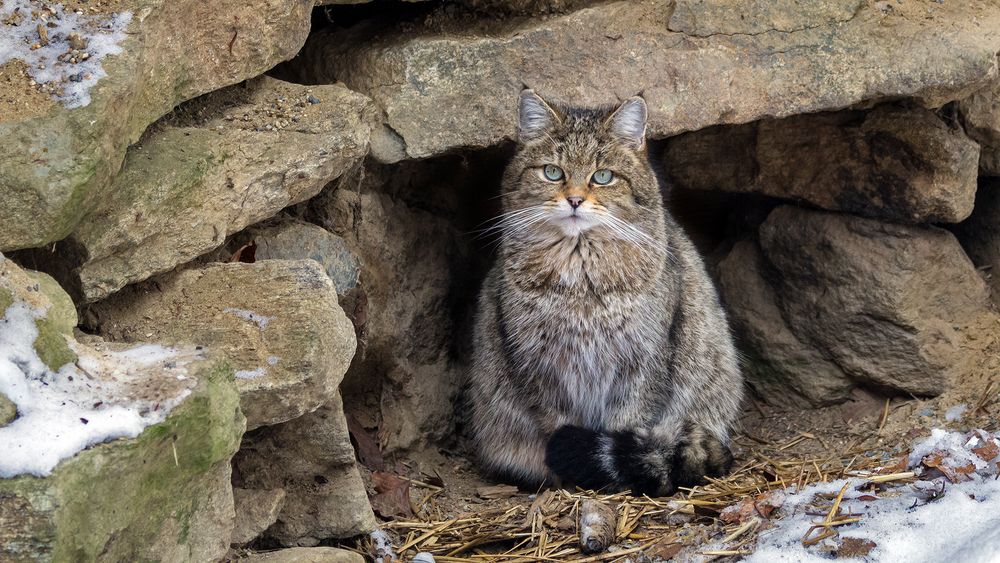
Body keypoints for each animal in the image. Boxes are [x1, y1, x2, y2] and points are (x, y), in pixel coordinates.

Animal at [468, 89, 744, 498]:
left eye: (602, 177)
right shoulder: (538, 363)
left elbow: (625, 422)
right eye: (553, 172)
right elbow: (555, 423)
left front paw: (608, 475)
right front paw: (568, 477)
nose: (575, 200)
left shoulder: (643, 360)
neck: (580, 271)